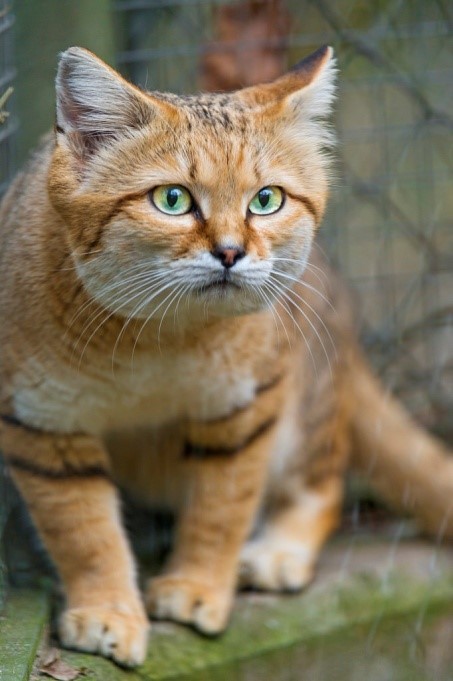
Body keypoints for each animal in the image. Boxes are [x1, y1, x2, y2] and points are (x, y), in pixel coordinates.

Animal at [1, 46, 450, 664]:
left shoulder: (246, 405)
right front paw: (108, 611)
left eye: (266, 200)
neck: (156, 338)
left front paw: (195, 588)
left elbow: (221, 509)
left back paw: (281, 551)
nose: (232, 252)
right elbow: (83, 532)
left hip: (303, 407)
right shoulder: (42, 425)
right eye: (172, 199)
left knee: (326, 480)